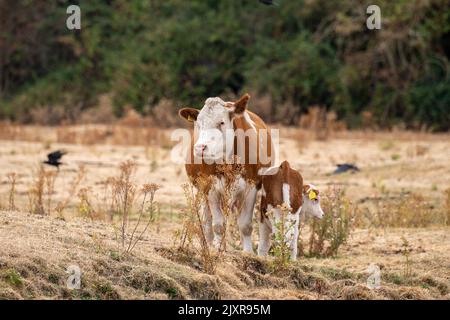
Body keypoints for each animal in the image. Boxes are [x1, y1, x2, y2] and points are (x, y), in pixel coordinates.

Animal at [178, 92, 274, 252]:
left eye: (222, 122)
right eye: (199, 124)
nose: (200, 148)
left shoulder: (251, 186)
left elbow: (245, 225)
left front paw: (247, 252)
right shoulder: (211, 187)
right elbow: (218, 225)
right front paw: (216, 250)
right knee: (207, 221)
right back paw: (210, 245)